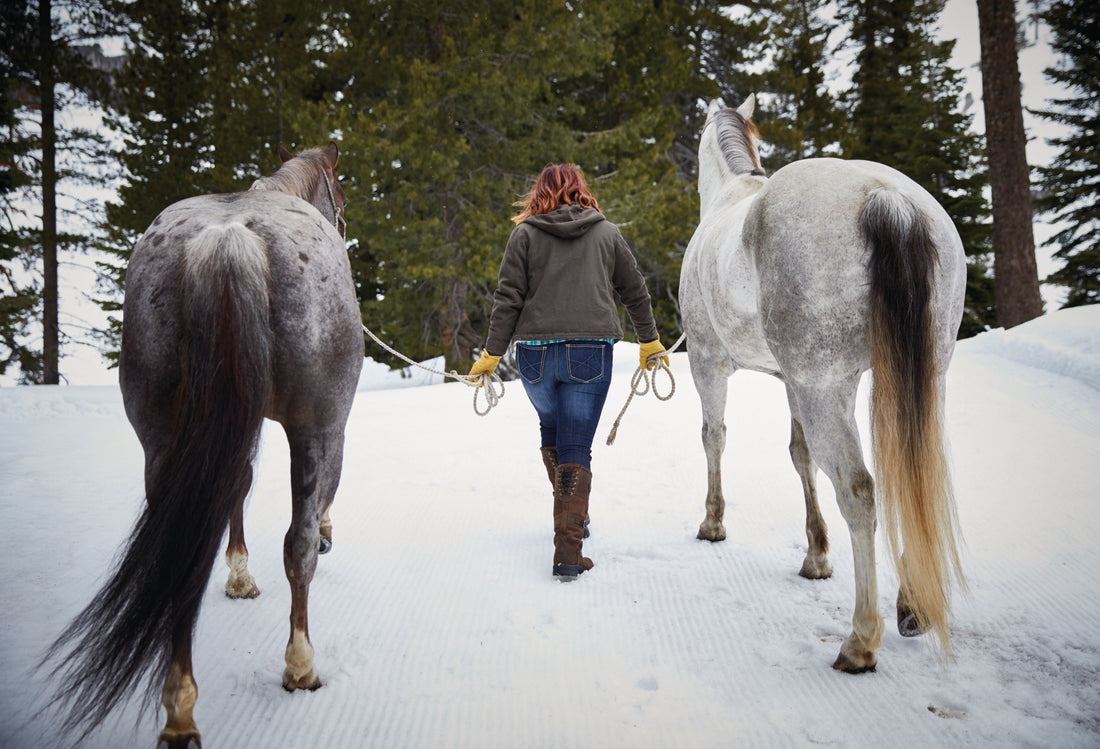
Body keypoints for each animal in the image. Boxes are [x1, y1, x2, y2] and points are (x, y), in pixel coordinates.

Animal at [682, 95, 968, 673]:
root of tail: (887, 199)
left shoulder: (709, 364)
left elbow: (714, 438)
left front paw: (713, 523)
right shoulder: (792, 381)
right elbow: (801, 455)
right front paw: (816, 555)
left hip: (825, 387)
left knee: (859, 492)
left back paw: (860, 641)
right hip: (917, 377)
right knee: (910, 469)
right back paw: (911, 607)